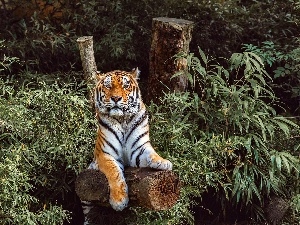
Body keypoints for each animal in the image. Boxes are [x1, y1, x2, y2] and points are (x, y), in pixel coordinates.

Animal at [83, 67, 172, 216]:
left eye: (125, 85)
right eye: (108, 85)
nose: (116, 98)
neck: (122, 119)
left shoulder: (138, 149)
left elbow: (151, 153)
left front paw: (163, 162)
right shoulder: (105, 154)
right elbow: (114, 172)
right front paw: (119, 201)